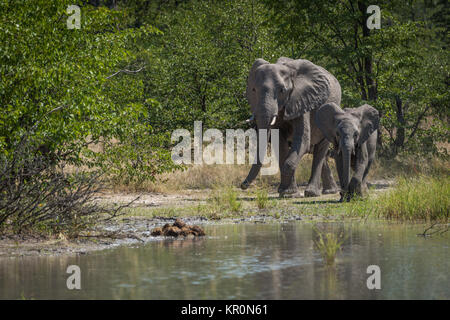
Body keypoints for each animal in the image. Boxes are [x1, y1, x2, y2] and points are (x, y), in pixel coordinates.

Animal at [241, 57, 340, 198]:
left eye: (282, 90)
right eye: (253, 90)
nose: (243, 185)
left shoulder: (302, 100)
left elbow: (302, 142)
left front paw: (289, 194)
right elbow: (280, 144)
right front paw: (285, 192)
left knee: (320, 150)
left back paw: (312, 193)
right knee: (316, 152)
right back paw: (329, 191)